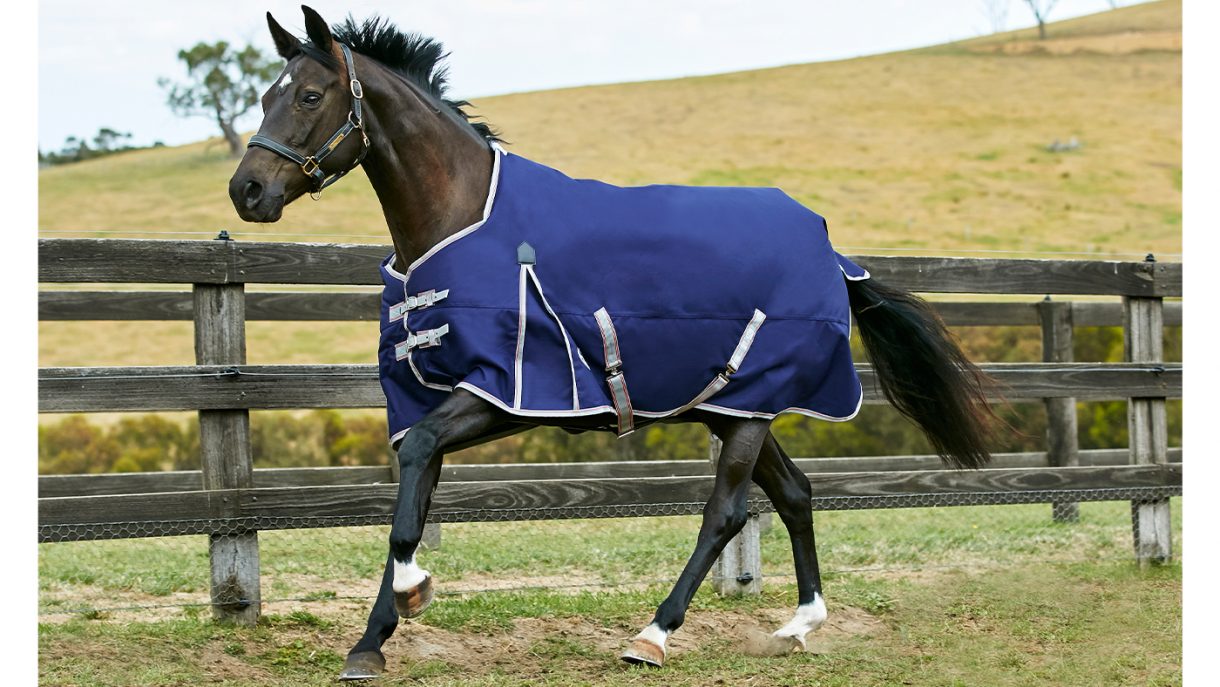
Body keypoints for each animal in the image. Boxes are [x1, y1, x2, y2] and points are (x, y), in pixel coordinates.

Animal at [229, 7, 995, 680]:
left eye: (309, 95)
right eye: (265, 95)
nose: (248, 190)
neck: (464, 220)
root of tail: (831, 251)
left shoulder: (503, 393)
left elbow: (411, 486)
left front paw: (414, 594)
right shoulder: (435, 397)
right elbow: (411, 503)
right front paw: (370, 644)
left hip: (748, 411)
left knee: (726, 512)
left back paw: (653, 635)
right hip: (734, 407)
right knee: (797, 493)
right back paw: (799, 624)